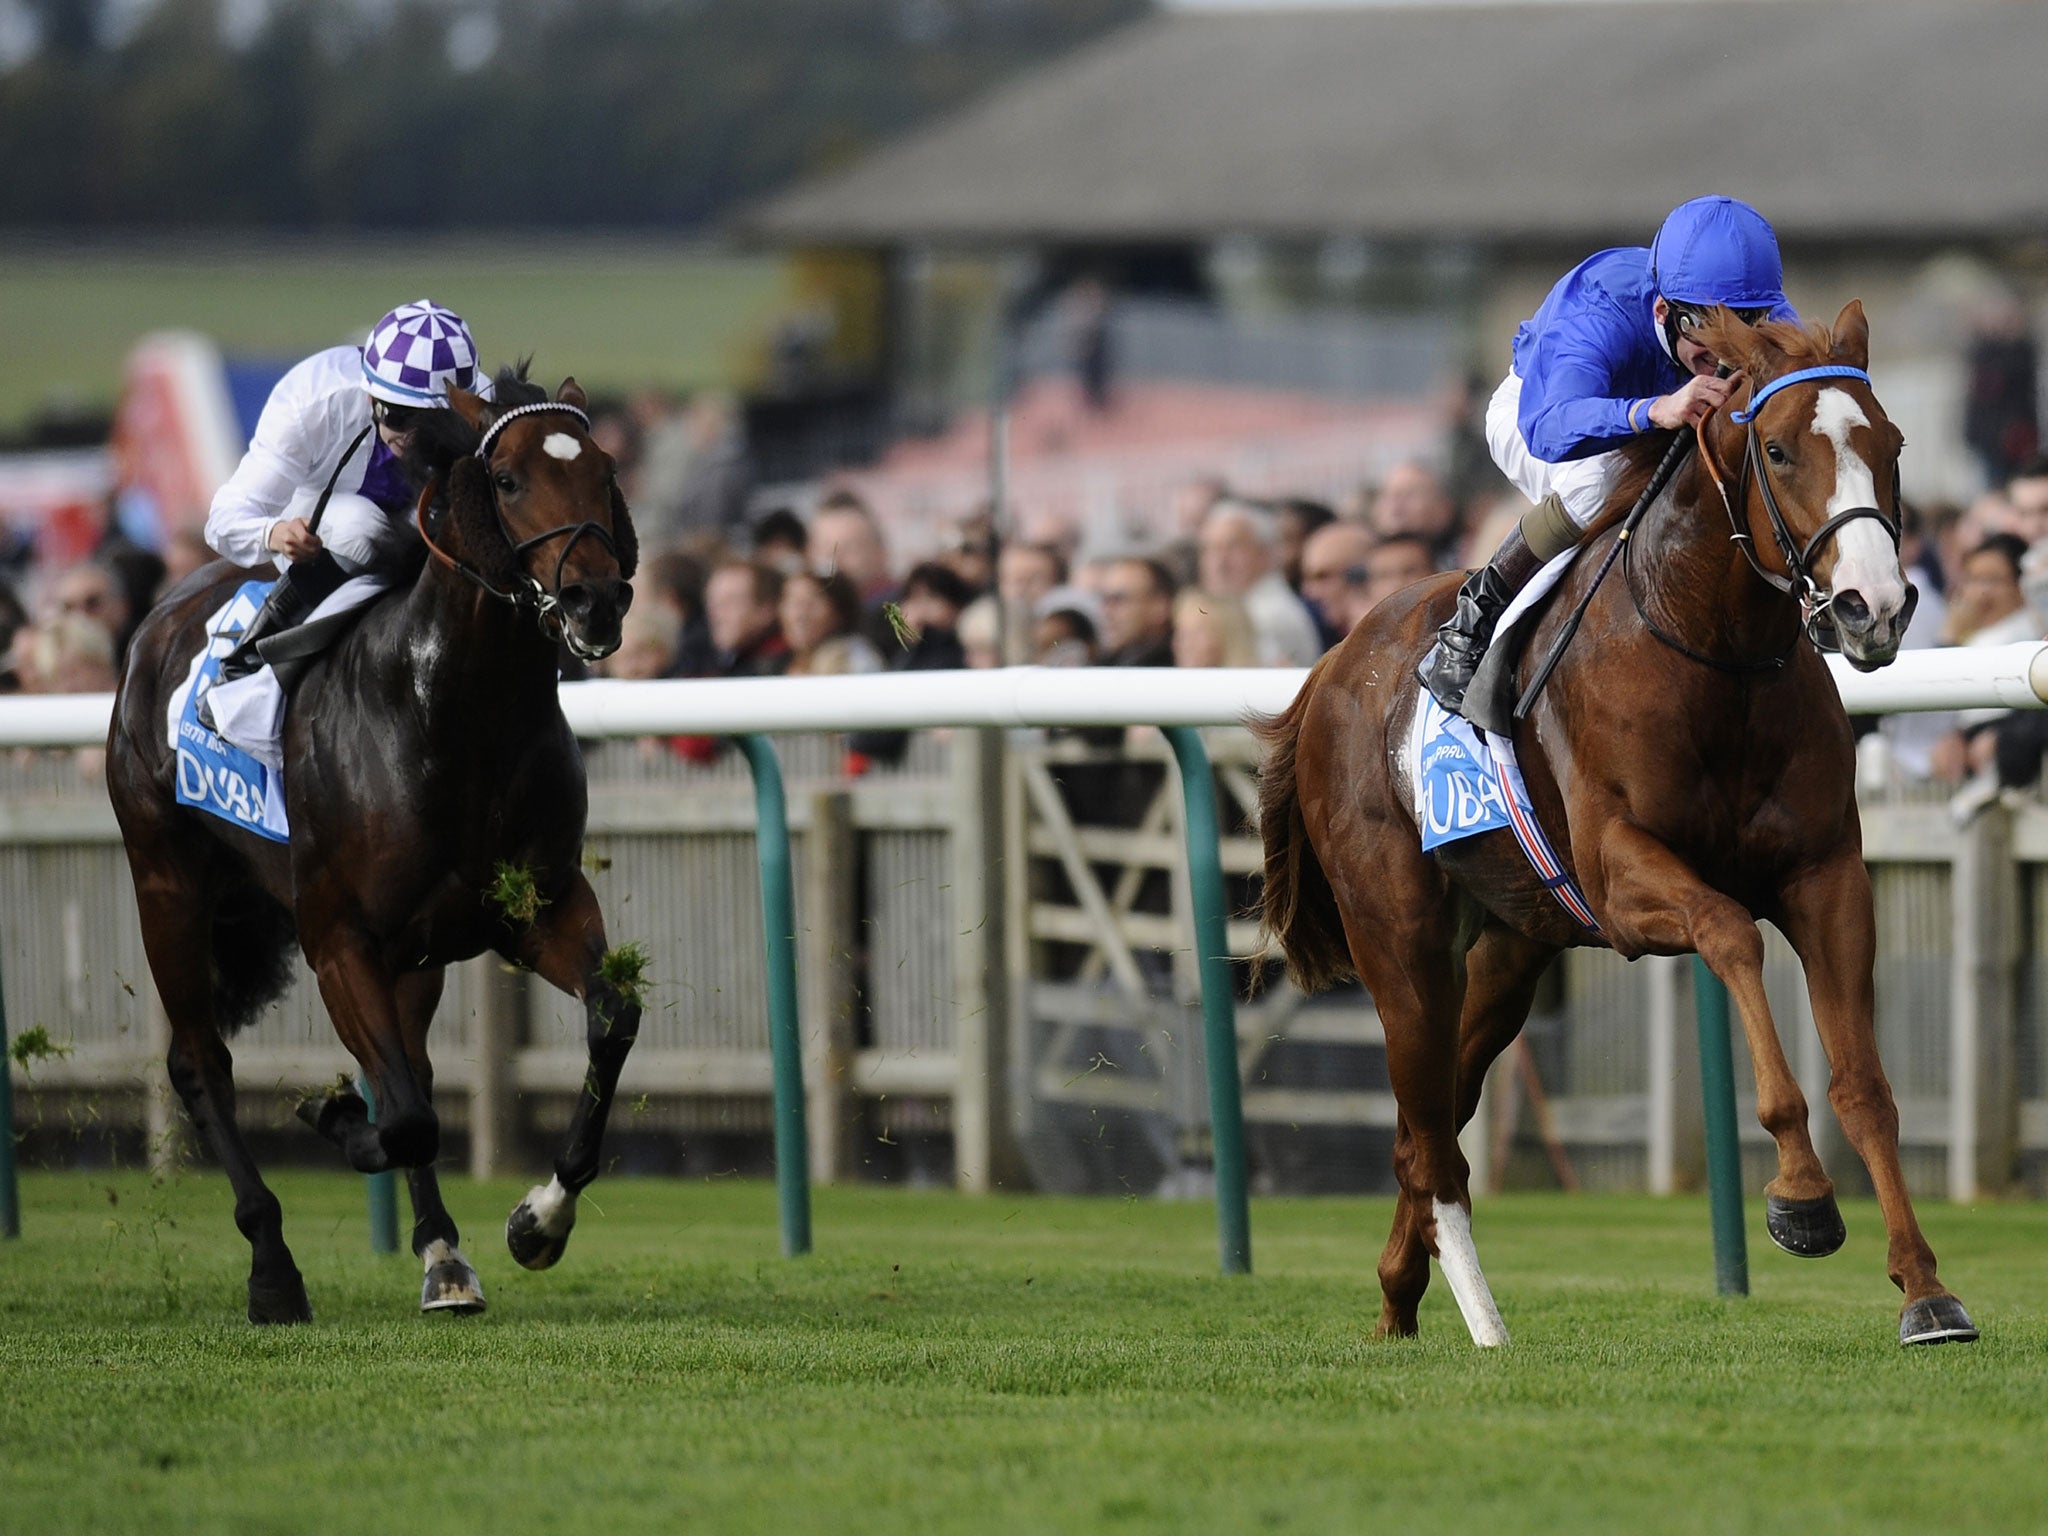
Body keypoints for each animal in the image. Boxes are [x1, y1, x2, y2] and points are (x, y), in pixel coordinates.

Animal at [103, 370, 643, 1327]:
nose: (596, 600)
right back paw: (273, 1269)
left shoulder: (537, 905)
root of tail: (158, 617)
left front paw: (537, 1221)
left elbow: (609, 1019)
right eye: (507, 479)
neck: (453, 716)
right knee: (200, 1062)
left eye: (604, 469)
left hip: (412, 954)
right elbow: (402, 1118)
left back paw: (443, 1257)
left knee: (409, 1068)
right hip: (166, 877)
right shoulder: (336, 936)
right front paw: (328, 1121)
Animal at [1253, 307, 1974, 1351]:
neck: (1715, 656)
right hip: (1399, 940)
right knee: (1429, 1134)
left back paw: (1398, 1296)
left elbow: (1865, 1082)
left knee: (1431, 1115)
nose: (1872, 609)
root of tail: (1335, 661)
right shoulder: (1624, 881)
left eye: (1894, 446)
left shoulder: (1827, 873)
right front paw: (1801, 1196)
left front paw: (1926, 1289)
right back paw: (1485, 1324)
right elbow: (1730, 933)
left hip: (1510, 950)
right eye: (1779, 448)